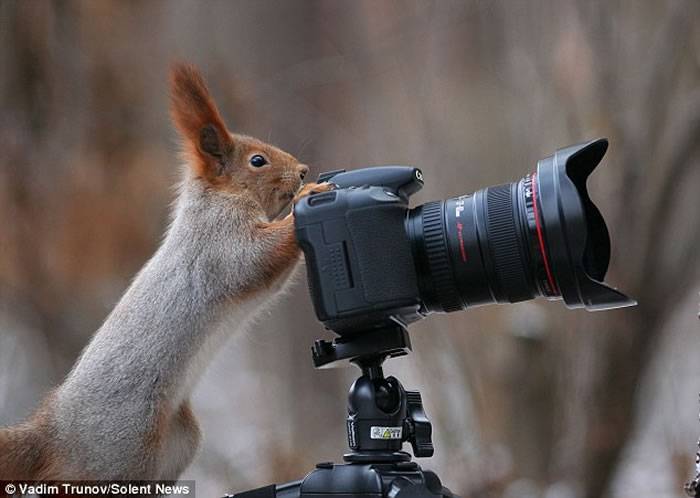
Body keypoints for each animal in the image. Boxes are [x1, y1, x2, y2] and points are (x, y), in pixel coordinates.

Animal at [0, 62, 332, 478]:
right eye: (258, 161)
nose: (303, 171)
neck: (217, 199)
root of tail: (53, 432)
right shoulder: (219, 243)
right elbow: (257, 258)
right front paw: (310, 194)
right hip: (120, 453)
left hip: (177, 445)